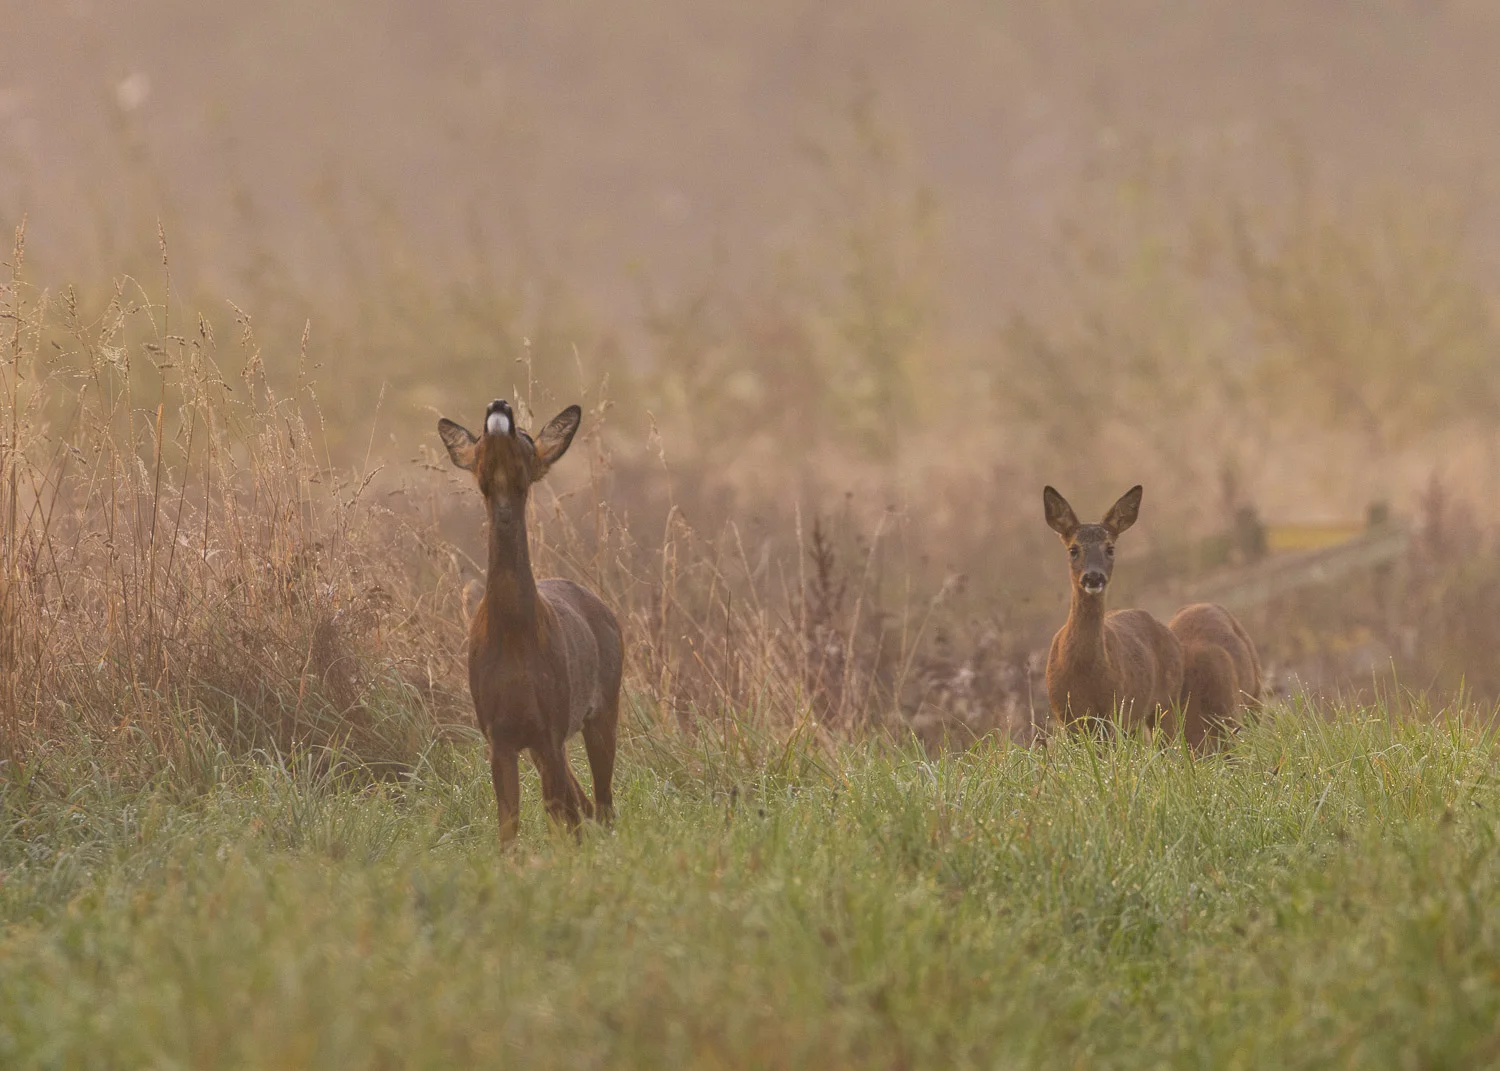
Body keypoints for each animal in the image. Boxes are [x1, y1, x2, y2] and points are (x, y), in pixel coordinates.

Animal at [438, 399, 623, 843]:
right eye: (481, 435)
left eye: (524, 436)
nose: (499, 404)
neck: (514, 635)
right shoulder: (498, 734)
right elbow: (509, 826)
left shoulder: (550, 725)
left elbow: (559, 814)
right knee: (584, 804)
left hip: (603, 705)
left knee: (601, 804)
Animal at [1042, 485, 1184, 736]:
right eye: (1073, 549)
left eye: (1110, 549)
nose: (1093, 576)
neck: (1082, 671)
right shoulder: (1065, 716)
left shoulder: (1114, 708)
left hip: (1166, 702)